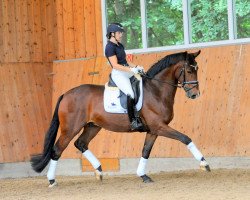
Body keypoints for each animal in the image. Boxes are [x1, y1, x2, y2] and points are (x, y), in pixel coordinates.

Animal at [31, 50, 211, 188]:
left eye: (197, 69)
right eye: (189, 71)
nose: (195, 94)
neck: (156, 90)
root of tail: (65, 94)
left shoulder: (153, 130)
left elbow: (145, 151)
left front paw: (143, 175)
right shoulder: (160, 127)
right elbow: (185, 138)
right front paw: (204, 163)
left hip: (93, 126)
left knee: (81, 143)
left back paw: (99, 171)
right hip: (70, 128)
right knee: (57, 150)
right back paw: (52, 180)